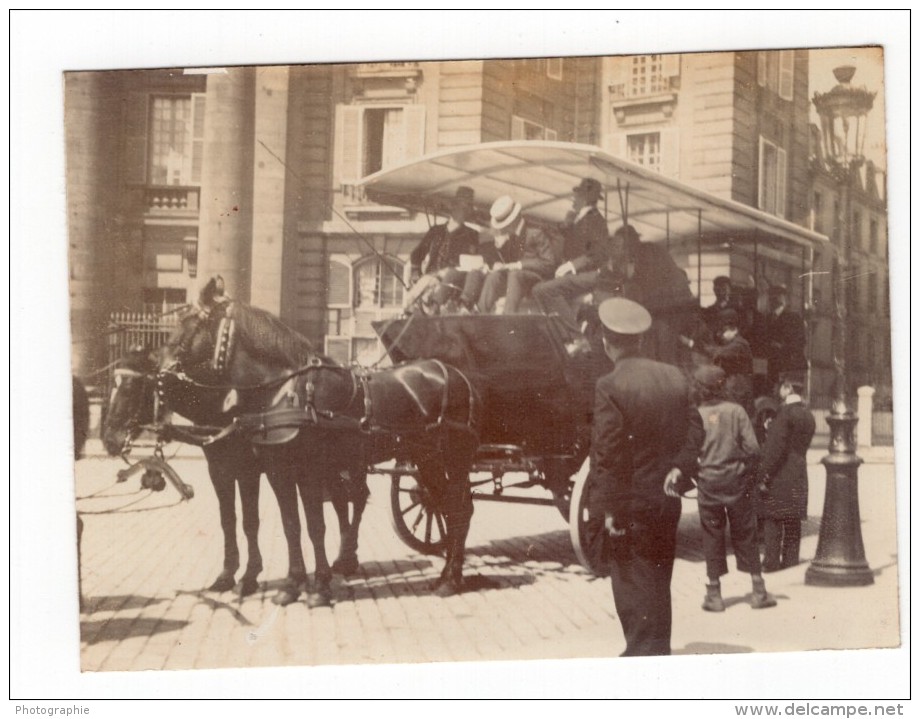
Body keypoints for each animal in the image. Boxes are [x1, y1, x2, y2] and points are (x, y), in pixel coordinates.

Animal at [164, 276, 482, 600]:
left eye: (190, 324)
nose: (162, 376)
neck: (286, 390)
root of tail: (456, 375)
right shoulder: (275, 470)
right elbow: (288, 524)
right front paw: (291, 583)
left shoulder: (304, 470)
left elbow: (314, 524)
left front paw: (317, 586)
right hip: (426, 459)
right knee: (443, 506)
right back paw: (442, 574)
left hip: (453, 459)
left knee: (459, 509)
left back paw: (451, 578)